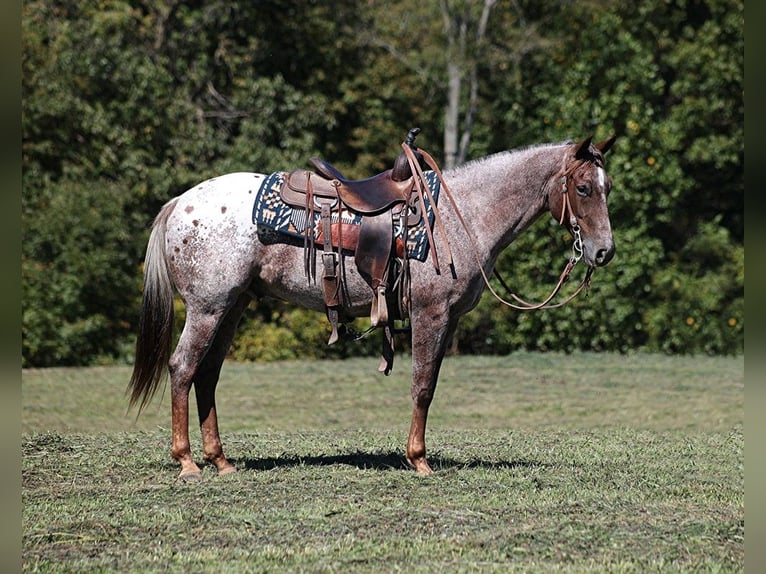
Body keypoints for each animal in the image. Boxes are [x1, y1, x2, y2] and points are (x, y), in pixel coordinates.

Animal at [126, 135, 616, 482]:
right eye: (584, 187)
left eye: (608, 187)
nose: (604, 252)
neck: (462, 217)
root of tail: (180, 203)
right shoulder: (431, 315)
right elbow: (422, 386)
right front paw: (419, 460)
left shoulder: (447, 320)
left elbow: (429, 384)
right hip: (208, 308)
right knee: (183, 367)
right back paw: (188, 462)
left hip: (233, 306)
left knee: (207, 375)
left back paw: (221, 461)